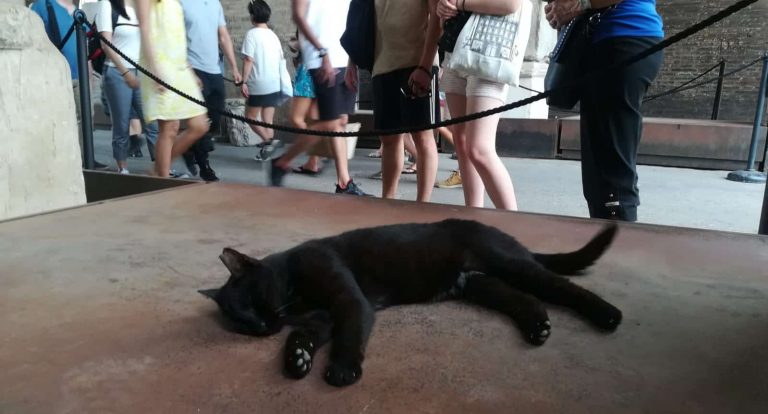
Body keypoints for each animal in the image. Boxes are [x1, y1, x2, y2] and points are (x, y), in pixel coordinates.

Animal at [201, 218, 620, 386]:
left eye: (252, 301)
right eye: (239, 322)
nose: (259, 327)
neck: (296, 290)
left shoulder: (349, 301)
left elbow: (349, 336)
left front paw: (342, 371)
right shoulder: (322, 317)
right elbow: (301, 336)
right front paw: (298, 359)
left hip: (509, 264)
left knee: (563, 288)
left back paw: (608, 315)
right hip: (481, 285)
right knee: (524, 300)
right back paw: (539, 328)